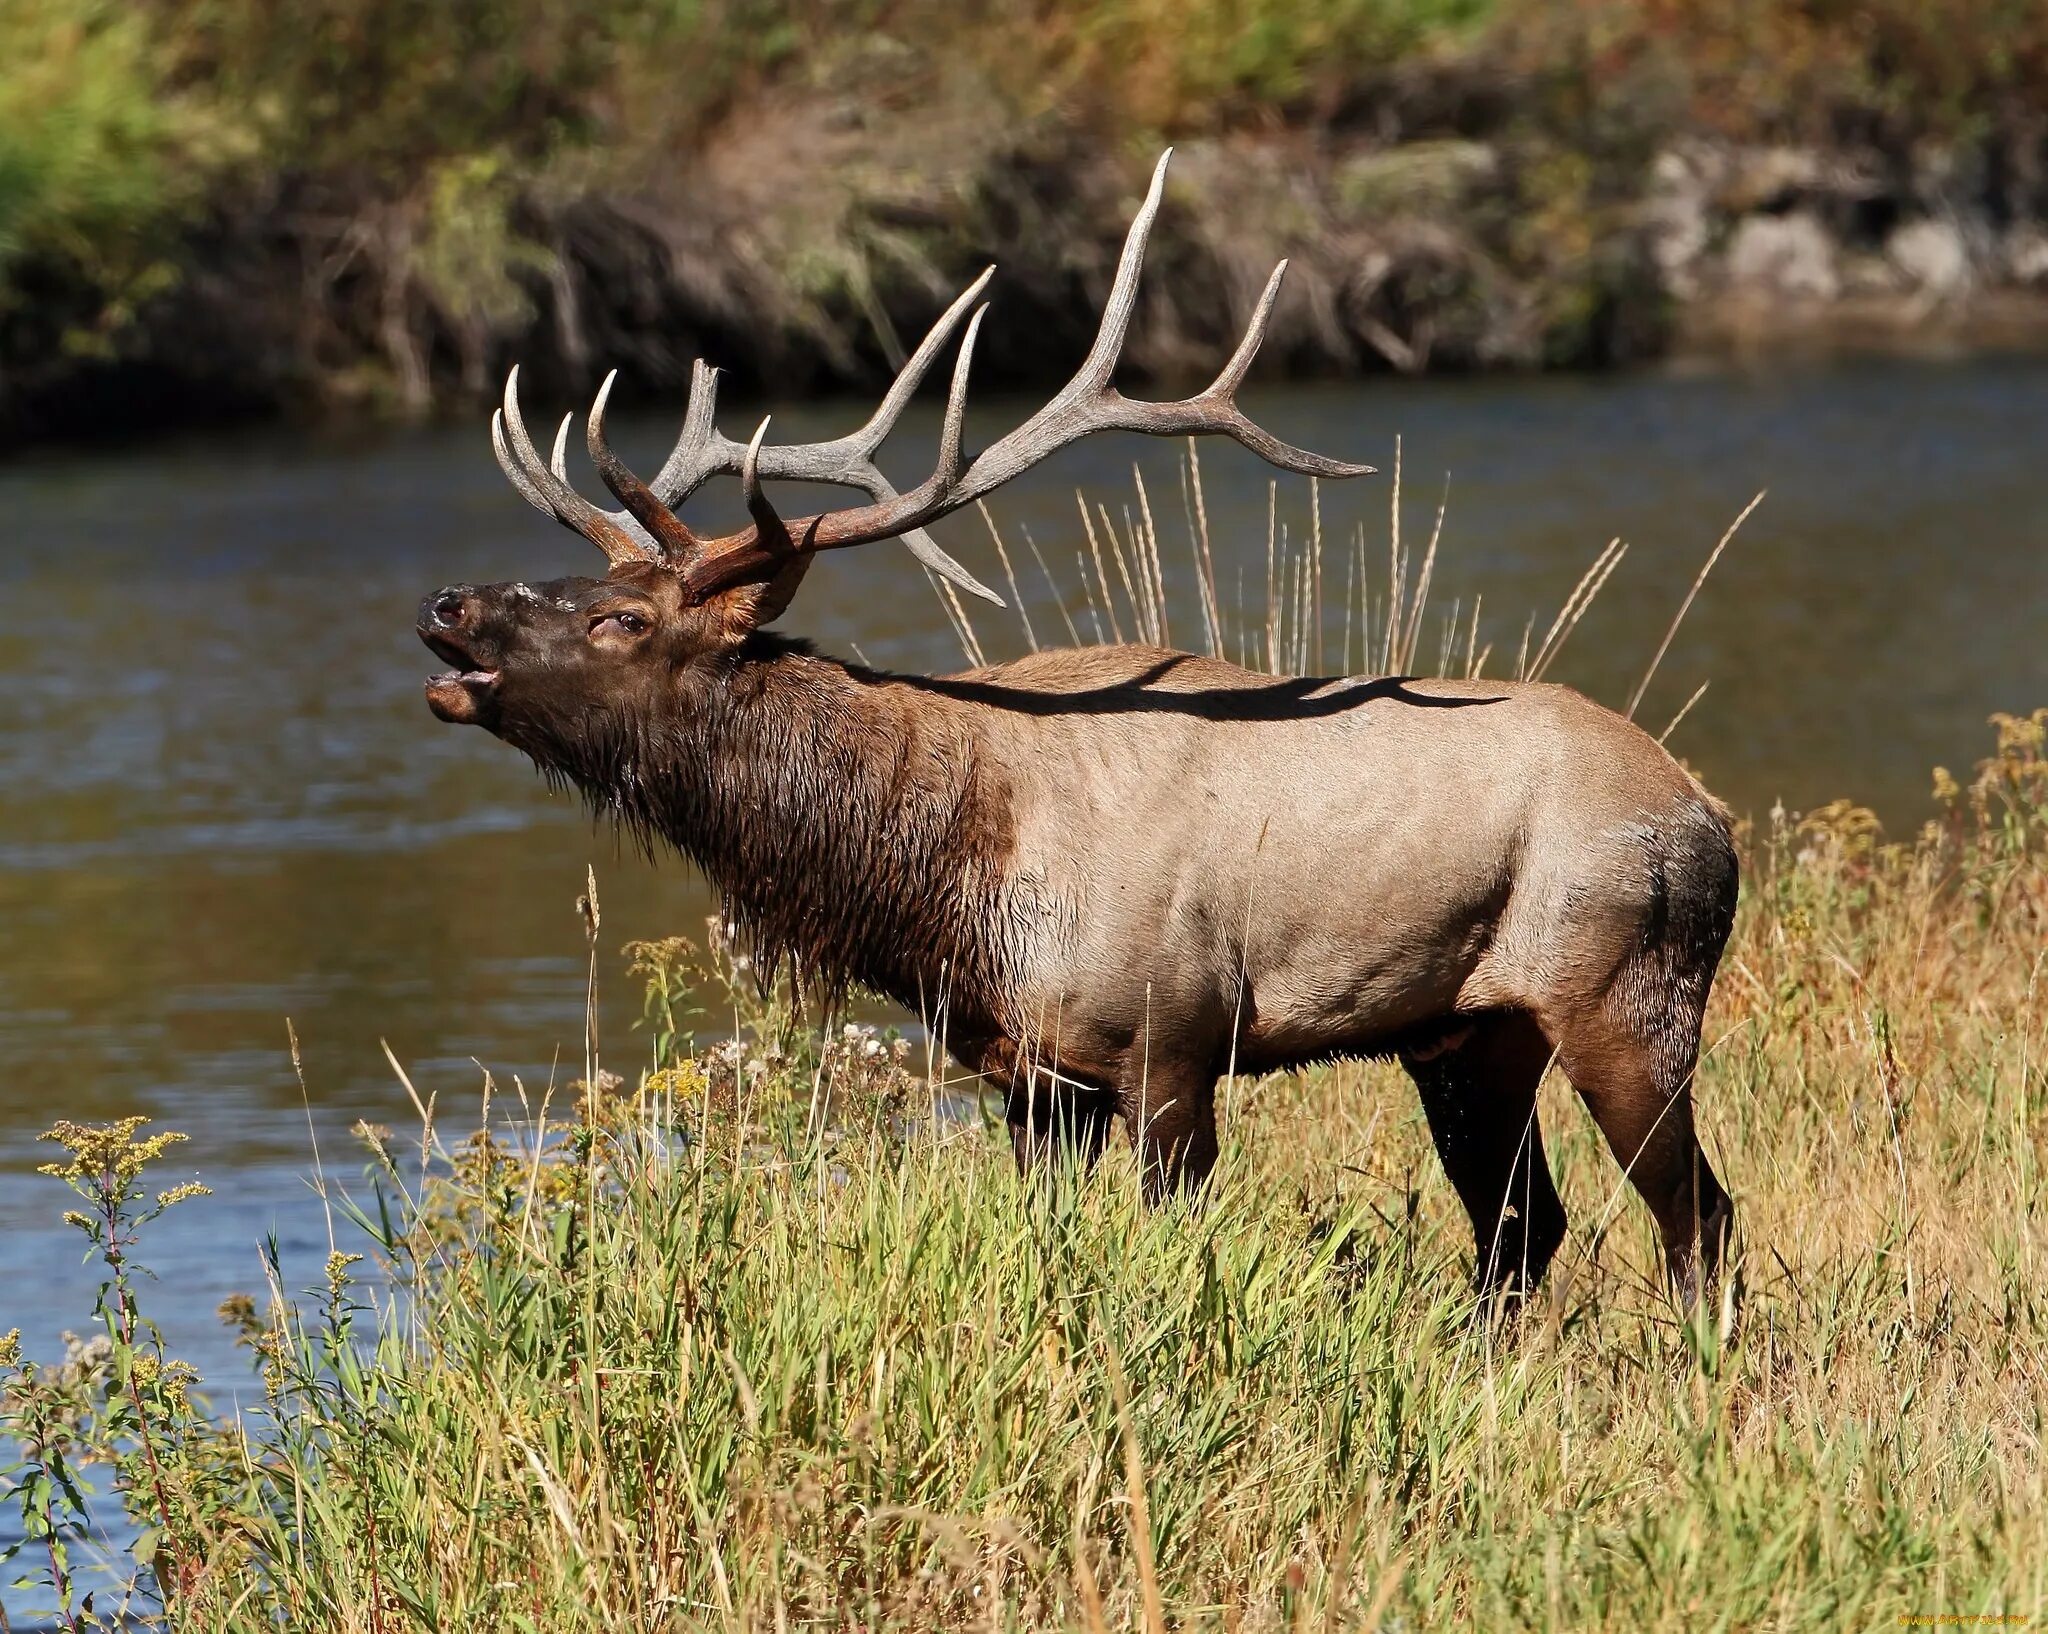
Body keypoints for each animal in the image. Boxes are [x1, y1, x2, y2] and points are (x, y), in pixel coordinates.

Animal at [415, 153, 1728, 1302]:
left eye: (621, 617)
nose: (447, 604)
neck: (948, 888)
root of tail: (1706, 814)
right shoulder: (1032, 1076)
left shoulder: (1170, 1041)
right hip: (1466, 1032)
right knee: (1521, 1224)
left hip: (1625, 984)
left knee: (1694, 1214)